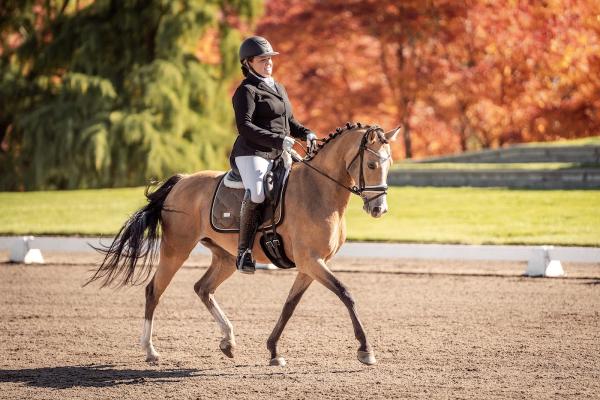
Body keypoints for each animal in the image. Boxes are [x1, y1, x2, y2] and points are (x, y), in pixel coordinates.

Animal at [86, 122, 400, 366]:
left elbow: (289, 306)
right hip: (176, 250)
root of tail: (182, 181)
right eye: (372, 164)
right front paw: (365, 350)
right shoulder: (311, 261)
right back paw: (150, 351)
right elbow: (346, 294)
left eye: (390, 165)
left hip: (225, 257)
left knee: (203, 288)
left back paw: (228, 341)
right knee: (154, 291)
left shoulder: (310, 265)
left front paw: (273, 351)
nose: (379, 209)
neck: (320, 190)